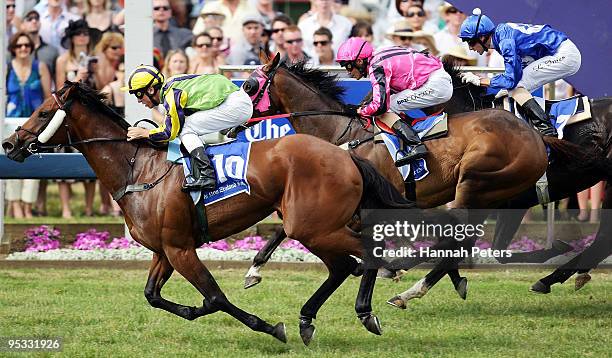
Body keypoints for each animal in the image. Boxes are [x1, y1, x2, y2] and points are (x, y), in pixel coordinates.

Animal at [1, 81, 416, 344]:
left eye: (42, 113)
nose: (10, 143)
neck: (138, 169)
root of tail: (346, 154)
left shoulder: (181, 248)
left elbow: (215, 298)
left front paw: (269, 327)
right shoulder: (165, 249)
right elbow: (153, 295)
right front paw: (193, 309)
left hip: (313, 226)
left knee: (364, 255)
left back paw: (365, 312)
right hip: (313, 227)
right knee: (345, 265)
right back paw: (309, 320)